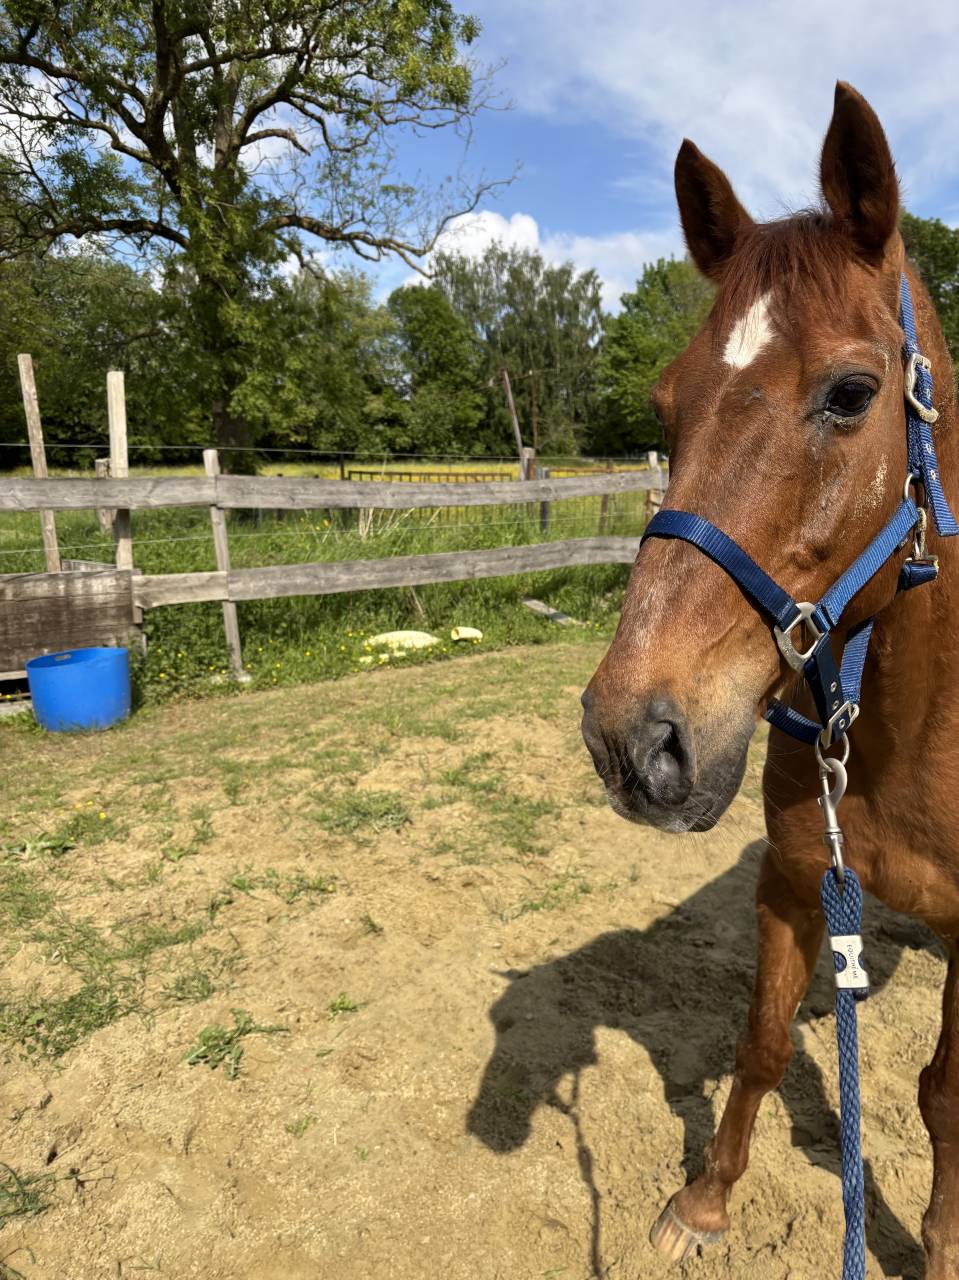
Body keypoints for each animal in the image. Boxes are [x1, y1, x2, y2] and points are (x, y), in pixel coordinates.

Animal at [580, 82, 959, 1279]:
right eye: (666, 406)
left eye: (850, 392)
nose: (630, 737)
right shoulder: (791, 883)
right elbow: (753, 1042)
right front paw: (703, 1202)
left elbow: (941, 1093)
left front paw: (940, 1243)